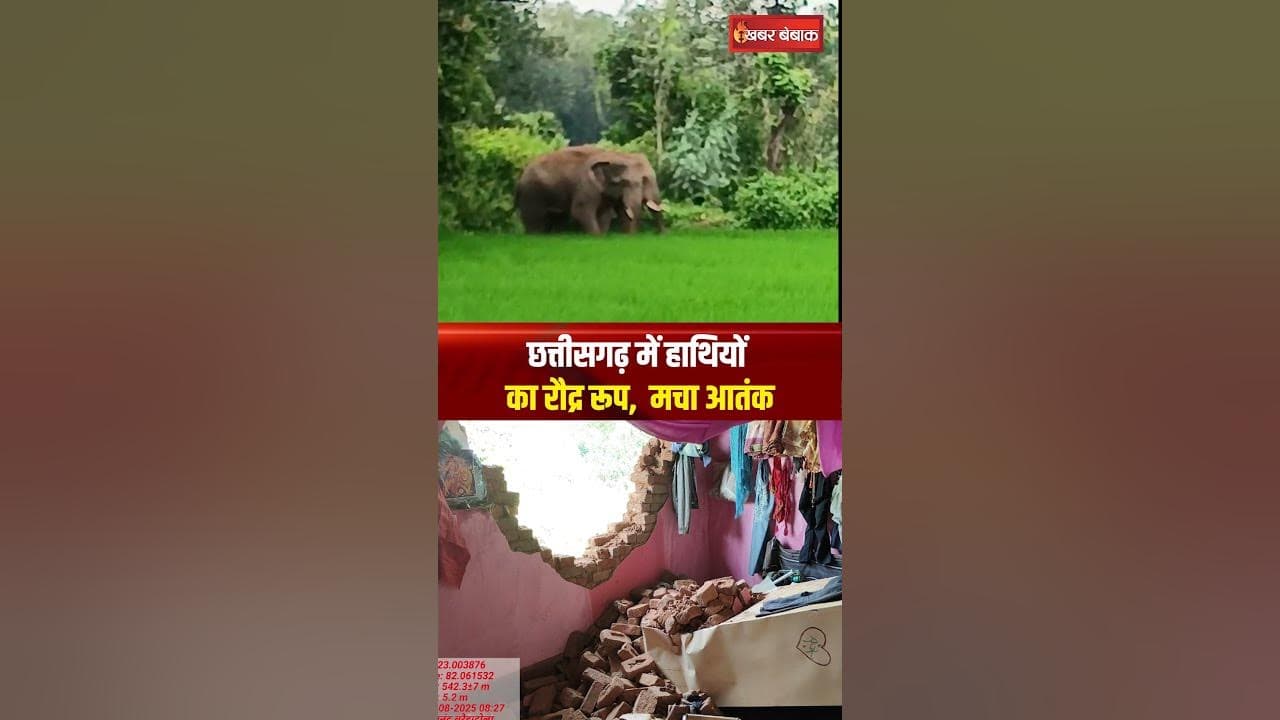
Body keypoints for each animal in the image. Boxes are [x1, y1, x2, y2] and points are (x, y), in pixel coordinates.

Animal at [515, 146, 664, 235]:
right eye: (643, 181)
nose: (661, 234)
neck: (615, 154)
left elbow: (606, 214)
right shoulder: (586, 185)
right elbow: (579, 211)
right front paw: (596, 237)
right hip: (531, 193)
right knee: (535, 220)